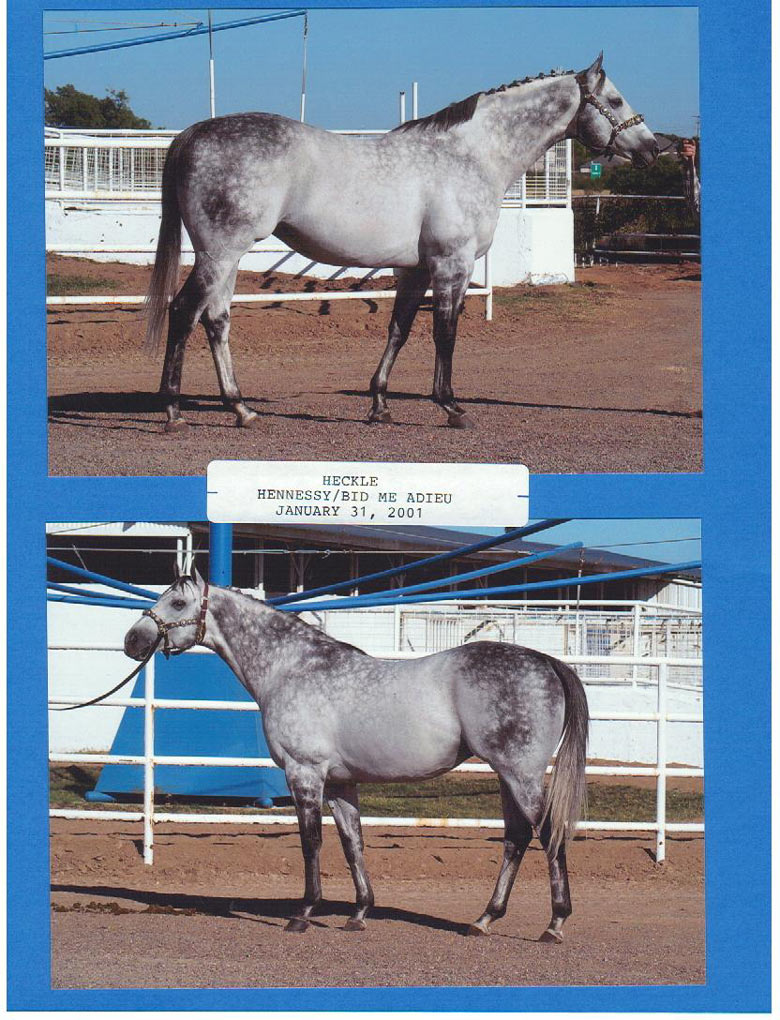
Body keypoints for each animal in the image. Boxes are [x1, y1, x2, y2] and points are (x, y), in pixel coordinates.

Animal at [124, 571, 589, 940]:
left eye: (177, 602)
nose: (133, 640)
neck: (291, 668)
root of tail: (546, 662)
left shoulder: (305, 774)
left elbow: (311, 842)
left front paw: (303, 913)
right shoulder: (340, 783)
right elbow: (353, 843)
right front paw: (359, 913)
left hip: (520, 774)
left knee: (548, 834)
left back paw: (554, 923)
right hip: (507, 775)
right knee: (516, 838)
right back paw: (483, 919)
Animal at [144, 54, 658, 433]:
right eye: (614, 98)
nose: (654, 148)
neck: (470, 155)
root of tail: (192, 134)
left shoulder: (414, 269)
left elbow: (399, 330)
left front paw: (379, 404)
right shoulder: (452, 265)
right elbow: (444, 332)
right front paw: (451, 407)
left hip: (226, 256)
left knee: (216, 320)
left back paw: (241, 409)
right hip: (220, 252)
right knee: (185, 311)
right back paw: (173, 412)